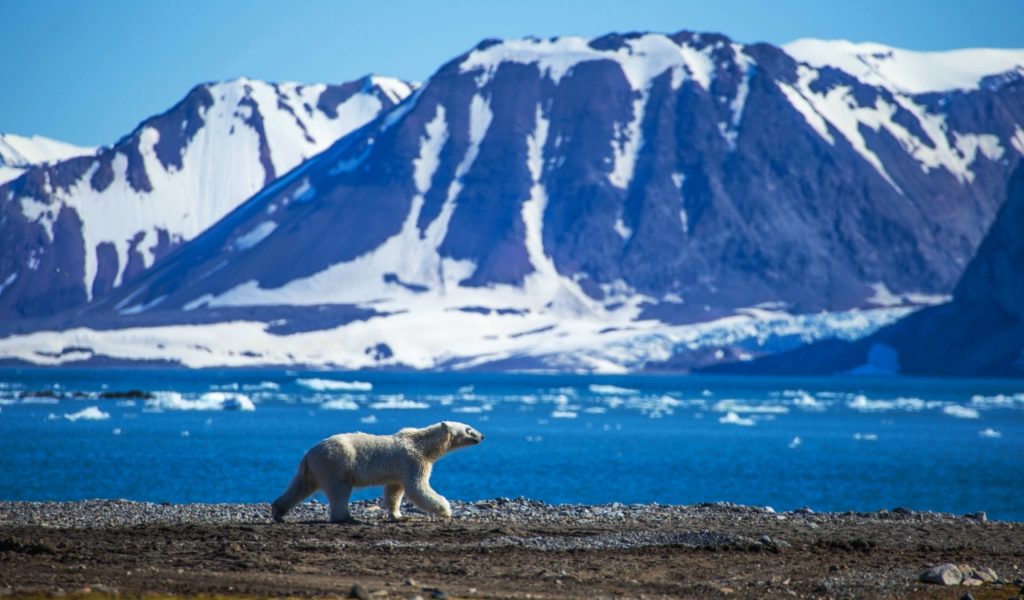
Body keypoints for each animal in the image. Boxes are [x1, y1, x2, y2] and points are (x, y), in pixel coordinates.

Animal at [270, 417, 481, 520]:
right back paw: (346, 517)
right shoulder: (413, 461)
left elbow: (394, 491)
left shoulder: (399, 470)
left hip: (313, 469)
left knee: (300, 486)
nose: (482, 436)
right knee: (339, 490)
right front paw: (446, 509)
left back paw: (278, 511)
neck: (422, 445)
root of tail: (309, 453)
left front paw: (398, 515)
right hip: (336, 464)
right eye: (468, 429)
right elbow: (417, 488)